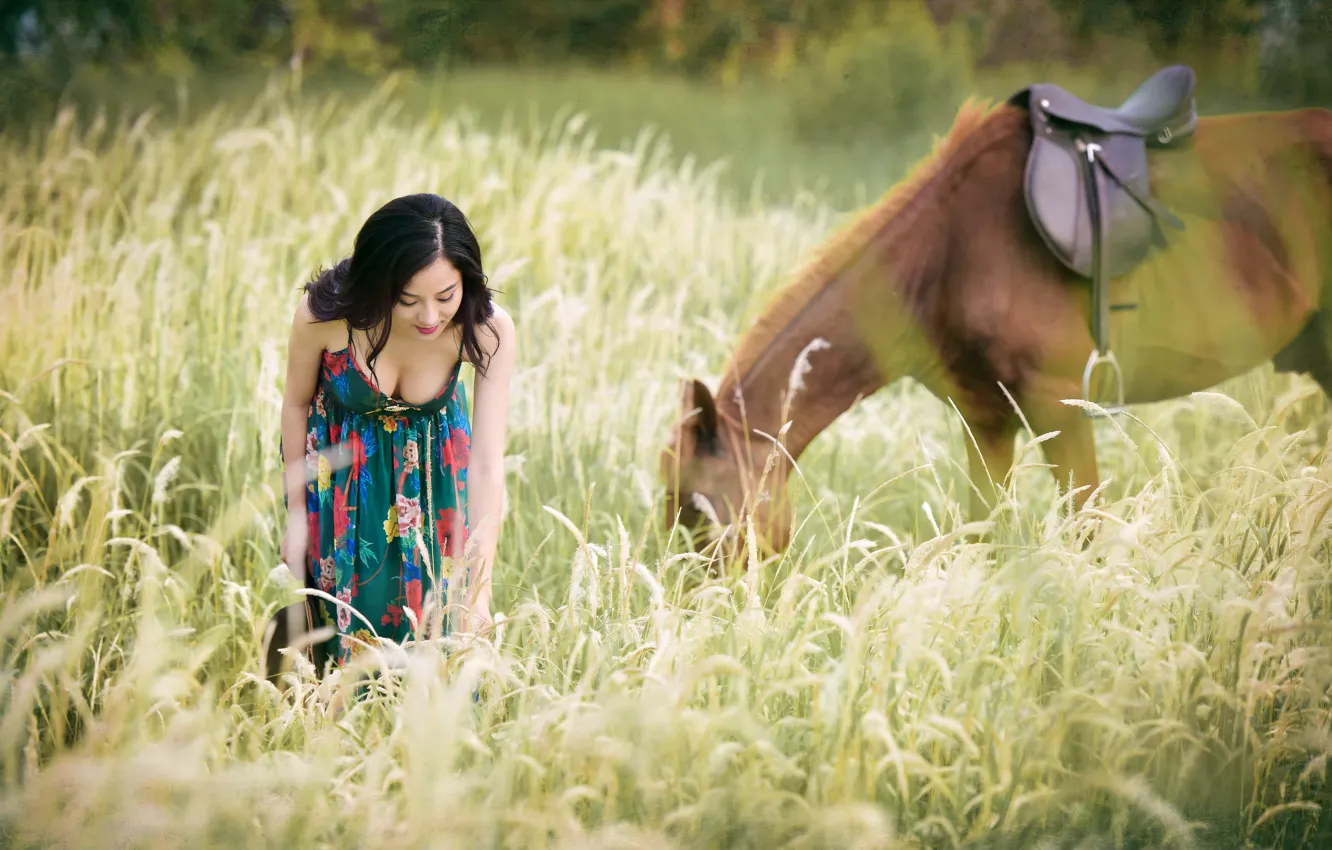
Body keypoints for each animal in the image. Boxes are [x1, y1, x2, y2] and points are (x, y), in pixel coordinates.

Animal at [660, 68, 1332, 564]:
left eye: (701, 513)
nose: (695, 614)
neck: (948, 252)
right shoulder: (985, 420)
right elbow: (983, 536)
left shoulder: (1060, 407)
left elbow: (1086, 531)